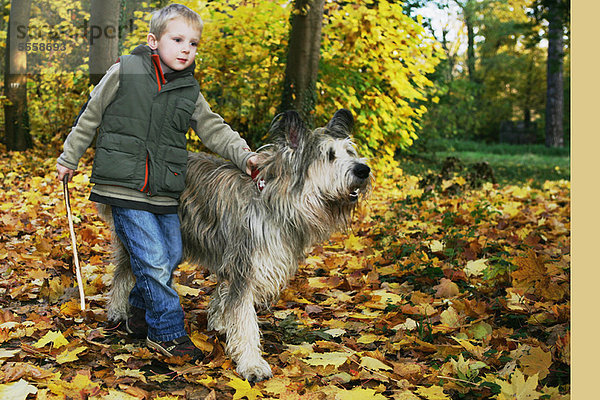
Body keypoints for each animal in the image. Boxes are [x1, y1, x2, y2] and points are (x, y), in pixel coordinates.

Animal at [105, 108, 372, 382]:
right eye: (329, 156)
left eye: (349, 152)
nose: (363, 170)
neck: (274, 199)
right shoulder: (246, 263)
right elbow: (244, 317)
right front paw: (251, 363)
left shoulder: (236, 259)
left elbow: (225, 297)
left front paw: (220, 322)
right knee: (126, 270)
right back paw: (118, 310)